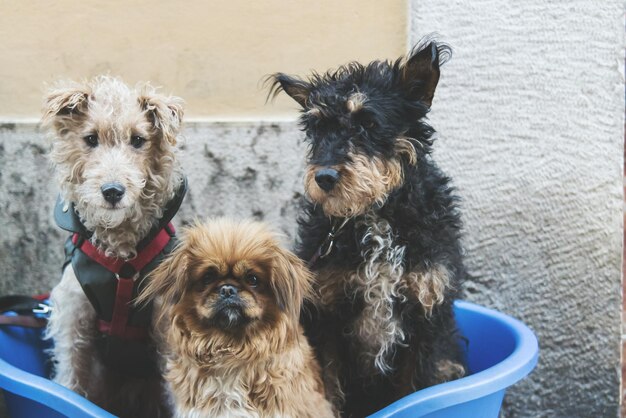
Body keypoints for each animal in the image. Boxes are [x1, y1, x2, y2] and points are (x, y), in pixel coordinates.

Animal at [40, 76, 183, 418]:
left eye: (138, 140)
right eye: (90, 138)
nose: (113, 191)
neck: (122, 260)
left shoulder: (167, 324)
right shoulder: (74, 317)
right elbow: (70, 381)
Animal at [270, 40, 466, 418]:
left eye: (368, 123)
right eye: (317, 129)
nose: (324, 178)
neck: (377, 216)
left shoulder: (427, 317)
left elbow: (419, 390)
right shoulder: (325, 317)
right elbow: (328, 390)